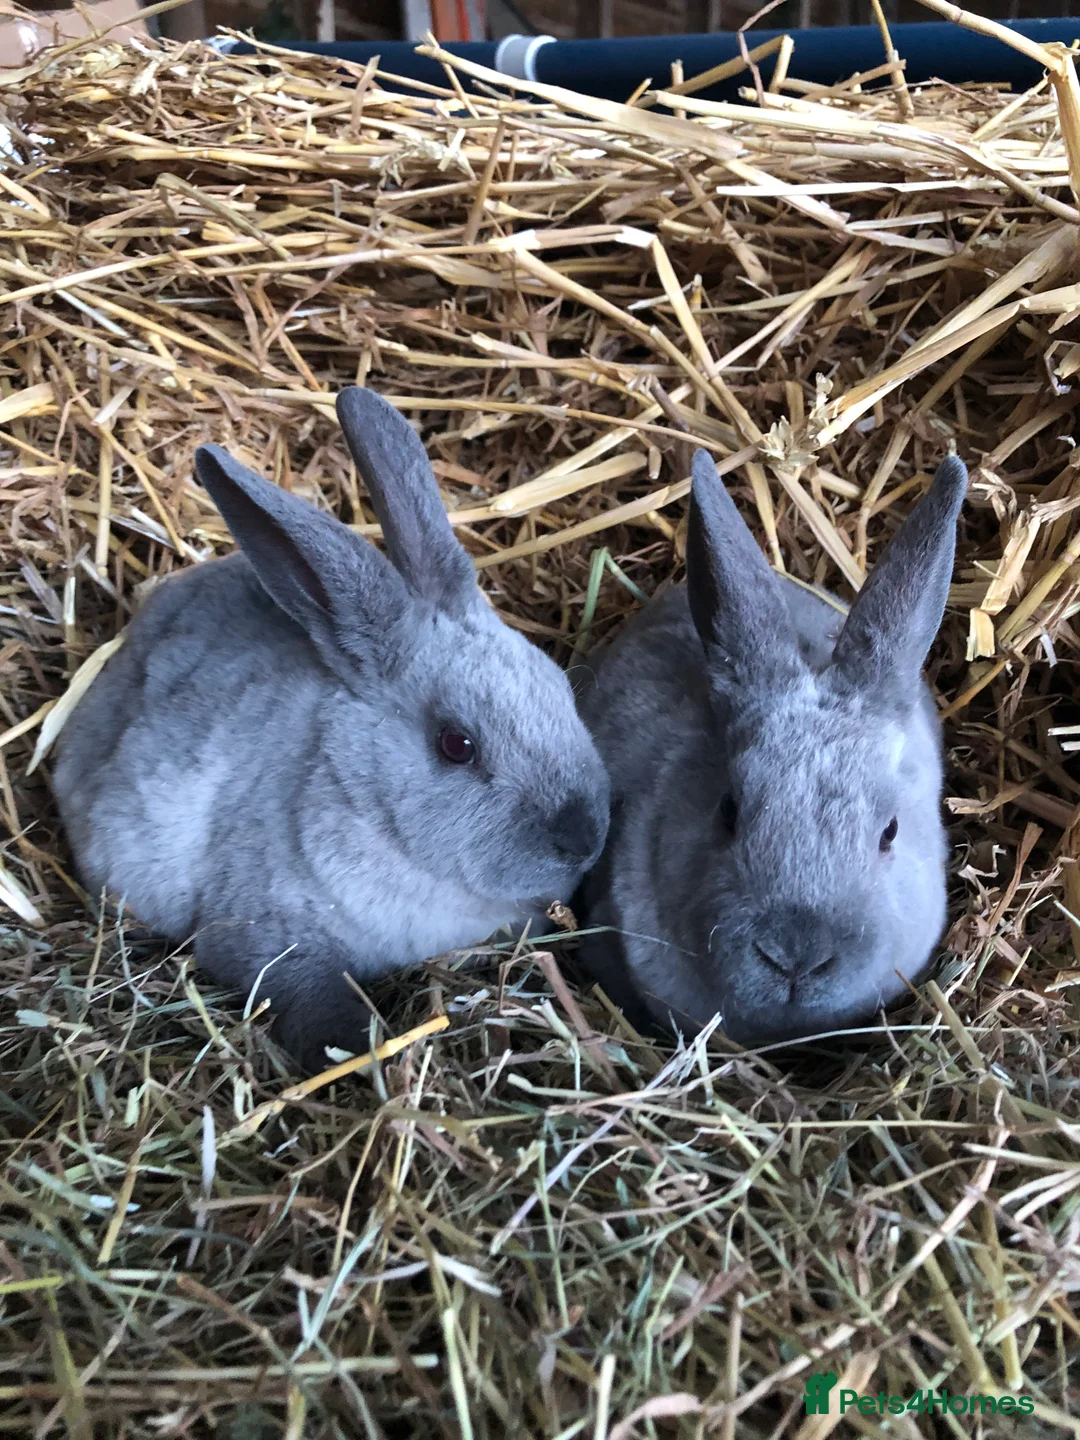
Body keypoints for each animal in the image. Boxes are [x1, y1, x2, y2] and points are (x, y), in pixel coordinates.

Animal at [53, 387, 610, 1071]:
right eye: (457, 745)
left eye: (558, 687)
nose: (584, 838)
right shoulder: (271, 938)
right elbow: (316, 1001)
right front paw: (354, 1049)